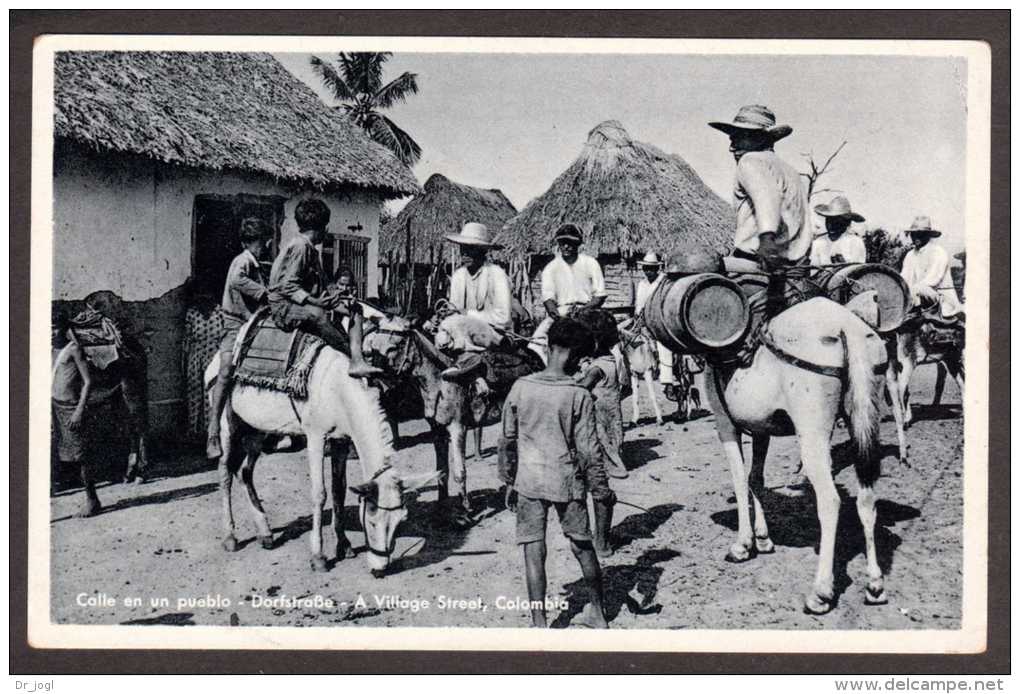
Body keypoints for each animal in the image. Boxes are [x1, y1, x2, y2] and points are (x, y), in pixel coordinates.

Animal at [207, 344, 442, 575]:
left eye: (400, 522)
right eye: (372, 521)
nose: (380, 568)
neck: (337, 390)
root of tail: (214, 361)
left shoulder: (340, 441)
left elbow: (339, 491)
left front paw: (344, 545)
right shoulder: (316, 437)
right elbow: (320, 494)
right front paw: (318, 557)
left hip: (258, 429)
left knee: (244, 472)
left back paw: (265, 533)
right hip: (228, 427)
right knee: (225, 473)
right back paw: (230, 537)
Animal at [705, 295, 889, 612]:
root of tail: (847, 327)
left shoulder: (725, 423)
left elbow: (740, 482)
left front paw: (743, 545)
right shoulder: (762, 428)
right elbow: (756, 480)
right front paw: (763, 539)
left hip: (812, 434)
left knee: (829, 501)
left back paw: (821, 592)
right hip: (863, 421)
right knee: (867, 498)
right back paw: (875, 586)